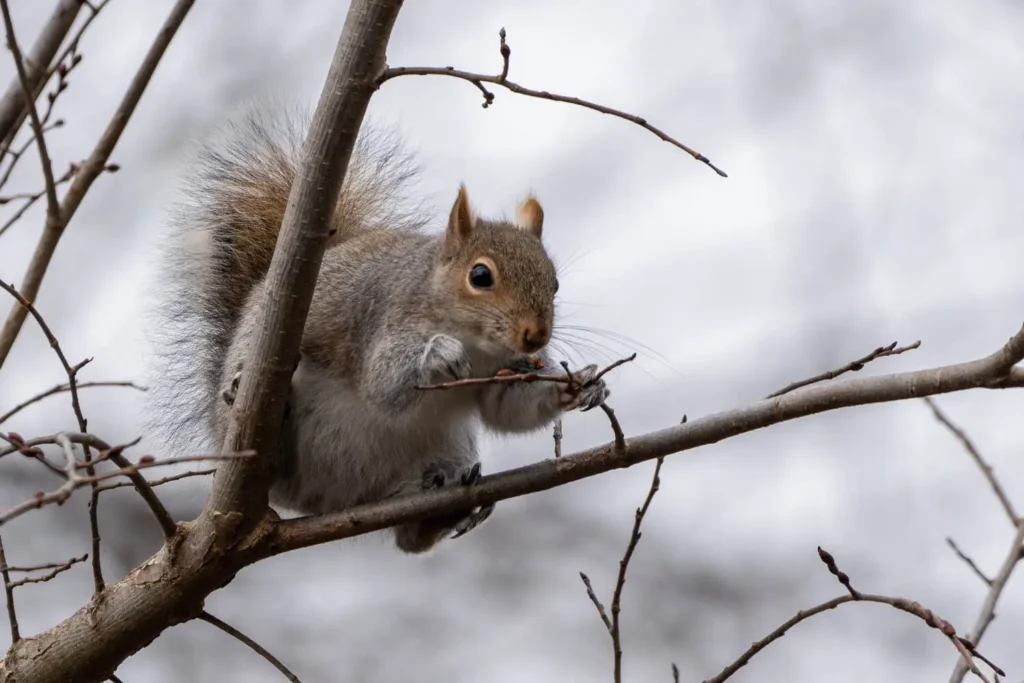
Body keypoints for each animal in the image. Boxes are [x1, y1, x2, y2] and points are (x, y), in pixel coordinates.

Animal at [146, 108, 609, 554]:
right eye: (480, 276)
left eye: (554, 283)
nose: (536, 337)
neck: (478, 344)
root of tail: (333, 500)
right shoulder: (383, 320)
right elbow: (382, 385)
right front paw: (439, 354)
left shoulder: (506, 369)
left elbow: (509, 407)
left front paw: (583, 384)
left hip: (445, 447)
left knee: (410, 539)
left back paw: (441, 511)